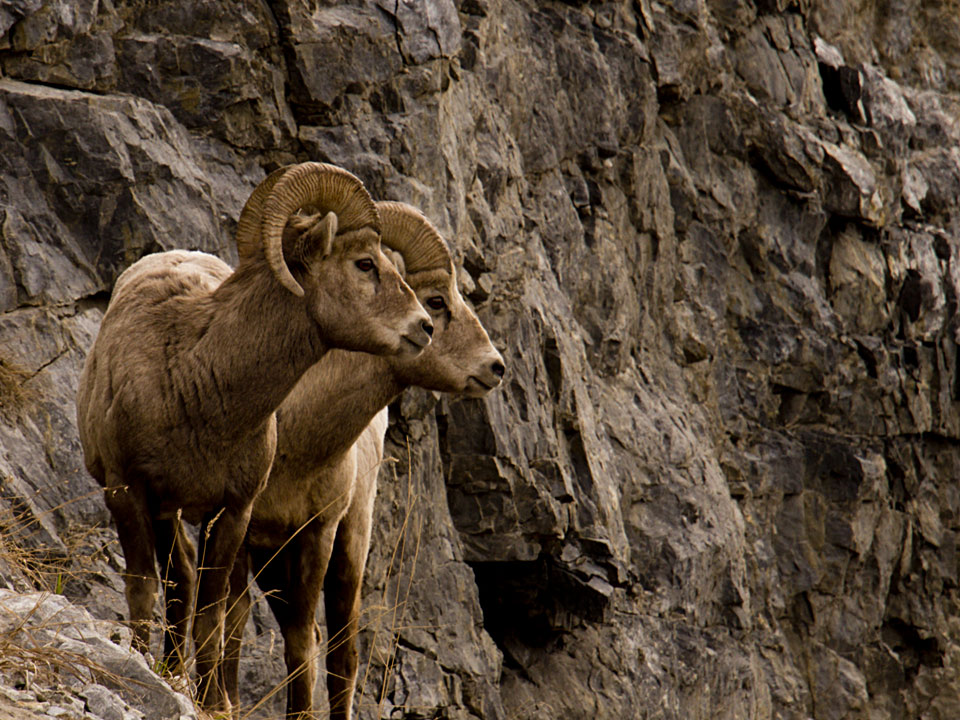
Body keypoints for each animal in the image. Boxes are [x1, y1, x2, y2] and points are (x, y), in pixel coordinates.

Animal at [75, 162, 434, 712]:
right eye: (365, 264)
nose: (426, 327)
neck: (192, 381)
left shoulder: (233, 513)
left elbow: (212, 615)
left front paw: (213, 704)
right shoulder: (128, 493)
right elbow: (143, 591)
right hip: (165, 513)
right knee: (176, 583)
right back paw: (167, 669)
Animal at [219, 198, 505, 719]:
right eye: (437, 301)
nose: (495, 367)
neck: (296, 443)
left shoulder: (320, 533)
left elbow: (301, 645)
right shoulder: (245, 532)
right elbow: (233, 621)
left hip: (350, 548)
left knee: (341, 654)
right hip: (276, 564)